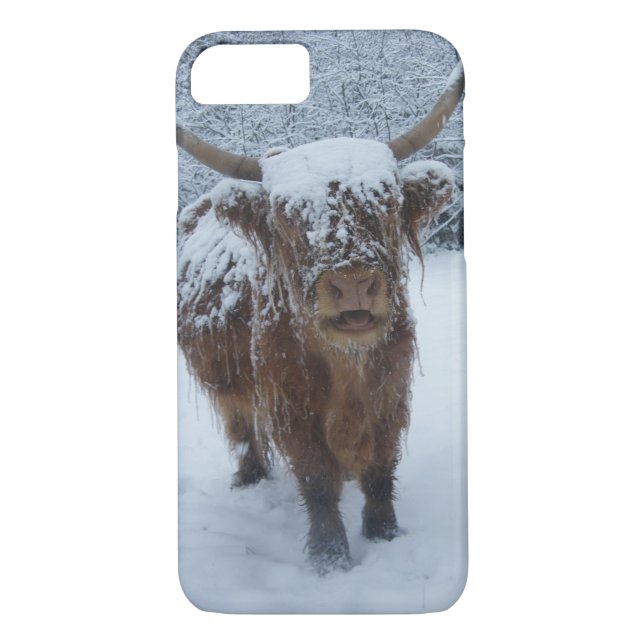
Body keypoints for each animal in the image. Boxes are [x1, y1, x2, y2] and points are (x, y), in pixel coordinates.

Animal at [177, 63, 464, 574]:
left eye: (387, 203)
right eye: (287, 217)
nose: (353, 283)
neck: (346, 365)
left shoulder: (391, 388)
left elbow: (380, 466)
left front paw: (384, 533)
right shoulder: (291, 404)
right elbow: (315, 478)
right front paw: (330, 557)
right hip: (225, 382)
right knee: (241, 426)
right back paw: (249, 477)